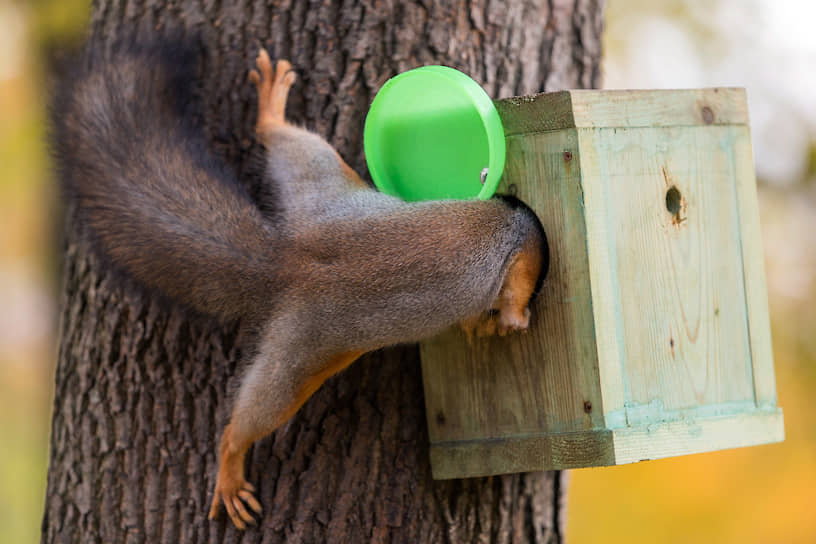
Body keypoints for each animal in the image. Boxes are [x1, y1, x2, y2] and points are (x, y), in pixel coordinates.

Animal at [55, 37, 548, 528]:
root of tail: (288, 261)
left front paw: (480, 325)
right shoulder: (525, 239)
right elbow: (518, 285)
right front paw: (513, 320)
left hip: (318, 185)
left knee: (290, 145)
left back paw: (271, 110)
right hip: (300, 353)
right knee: (252, 416)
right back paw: (231, 464)